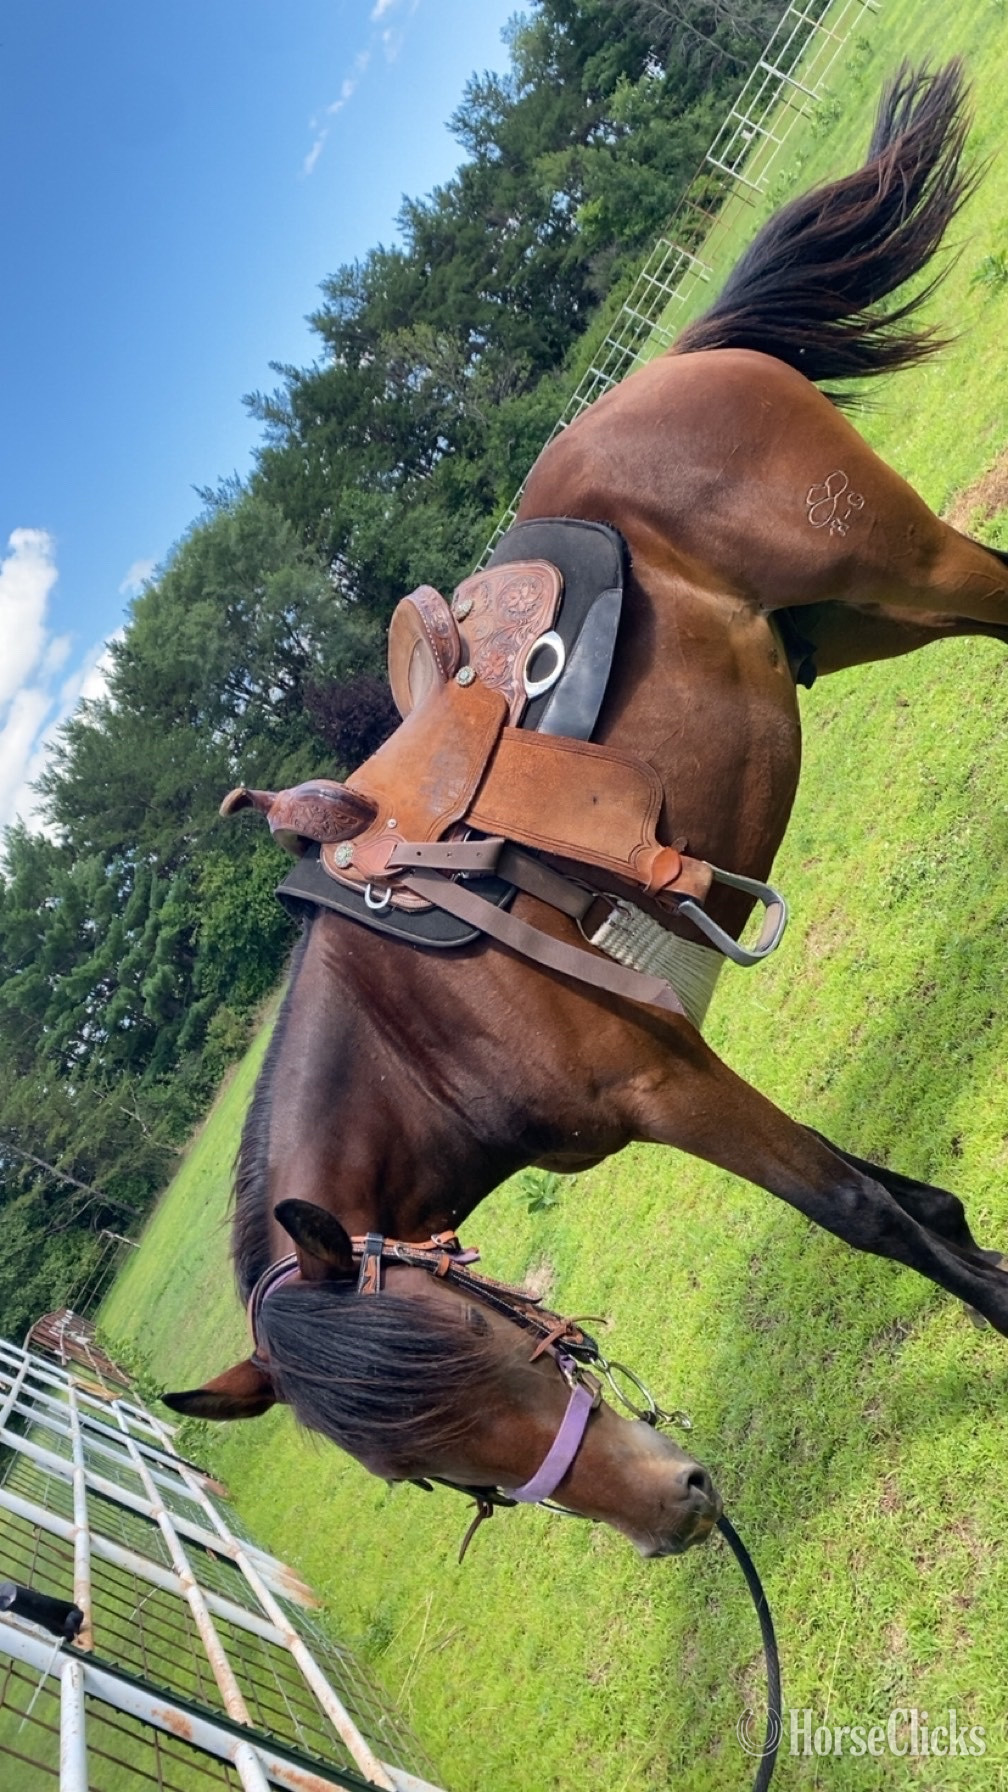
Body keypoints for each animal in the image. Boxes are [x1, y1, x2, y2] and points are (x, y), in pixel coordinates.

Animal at [166, 61, 1008, 1562]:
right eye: (431, 1471)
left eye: (477, 1349)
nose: (676, 1513)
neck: (423, 1027)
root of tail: (680, 363)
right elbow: (910, 1202)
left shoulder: (672, 1083)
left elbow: (861, 1210)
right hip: (863, 625)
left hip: (918, 574)